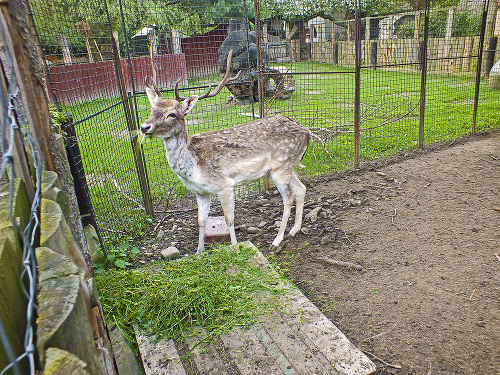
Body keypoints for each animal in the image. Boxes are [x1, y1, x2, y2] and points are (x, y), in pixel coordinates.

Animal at [141, 51, 310, 254]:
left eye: (172, 114)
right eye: (152, 110)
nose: (144, 127)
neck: (193, 166)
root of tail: (308, 133)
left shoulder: (225, 185)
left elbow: (229, 219)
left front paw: (236, 246)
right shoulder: (201, 192)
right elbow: (201, 221)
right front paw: (199, 252)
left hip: (281, 166)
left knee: (289, 197)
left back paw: (277, 240)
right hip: (285, 167)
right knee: (301, 188)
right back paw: (295, 229)